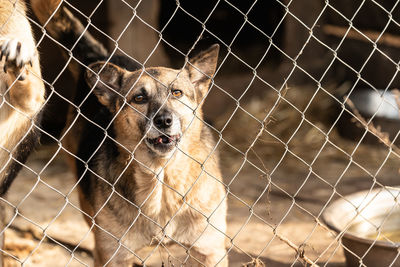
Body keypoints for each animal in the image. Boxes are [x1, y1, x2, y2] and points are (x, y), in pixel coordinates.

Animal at [32, 1, 228, 266]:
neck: (161, 179)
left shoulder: (211, 251)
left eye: (177, 93)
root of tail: (104, 57)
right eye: (139, 98)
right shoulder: (112, 255)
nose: (164, 121)